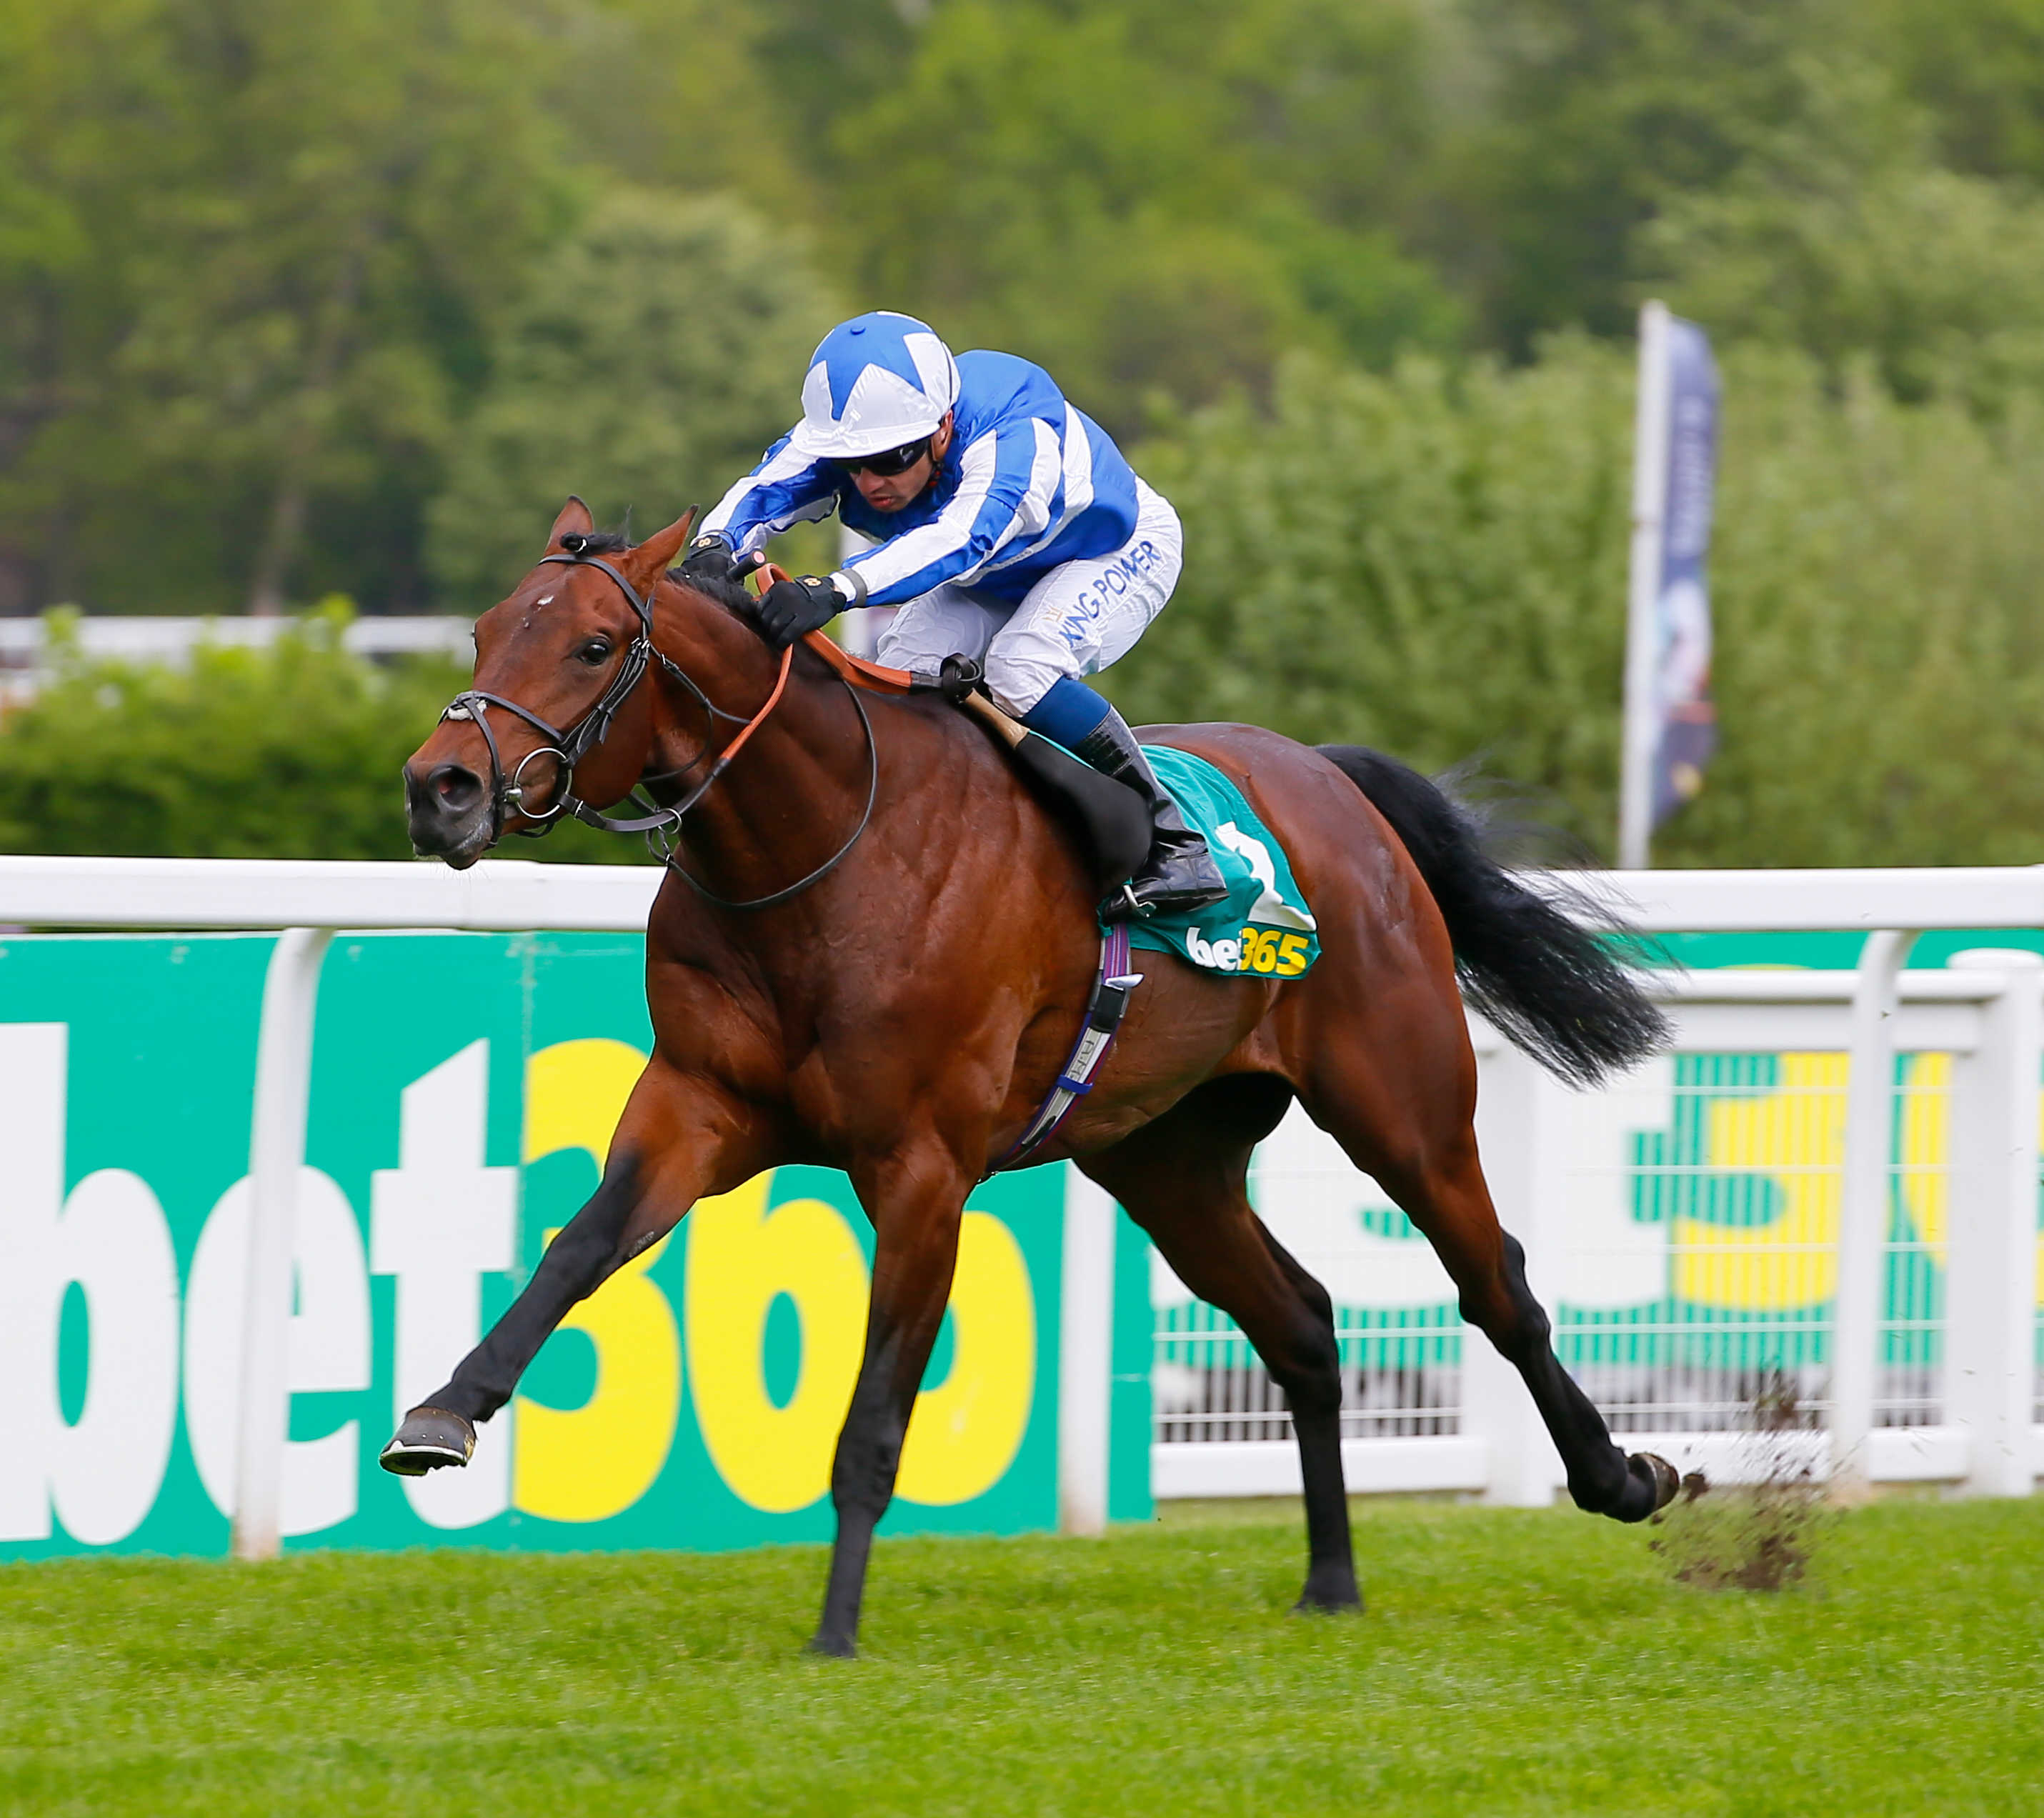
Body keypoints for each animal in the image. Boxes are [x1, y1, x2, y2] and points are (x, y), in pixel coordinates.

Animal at [389, 497, 1677, 1657]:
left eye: (594, 645)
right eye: (485, 632)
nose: (440, 788)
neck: (821, 854)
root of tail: (1326, 778)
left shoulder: (921, 1167)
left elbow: (875, 1416)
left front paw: (835, 1633)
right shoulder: (697, 1106)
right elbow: (578, 1249)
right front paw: (444, 1413)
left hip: (1401, 1101)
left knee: (1498, 1287)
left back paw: (1622, 1478)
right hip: (1167, 1157)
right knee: (1303, 1322)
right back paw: (1330, 1584)